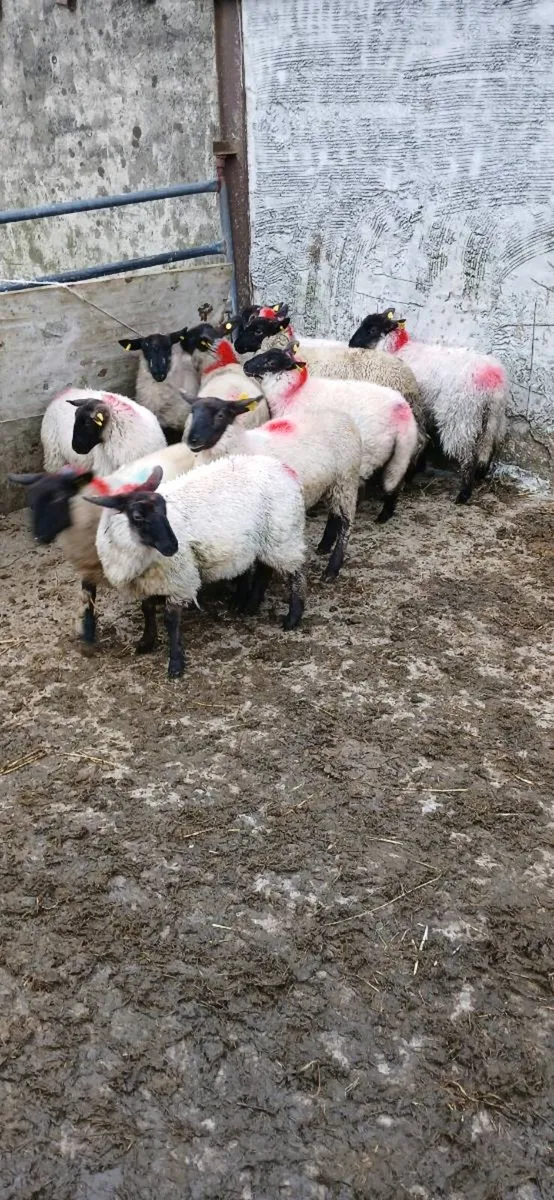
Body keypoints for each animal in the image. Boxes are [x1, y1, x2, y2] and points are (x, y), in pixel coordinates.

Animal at [9, 442, 196, 653]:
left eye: (58, 498)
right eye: (31, 501)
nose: (38, 537)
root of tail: (183, 445)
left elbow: (146, 604)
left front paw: (147, 640)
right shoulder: (89, 563)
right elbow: (88, 596)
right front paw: (88, 634)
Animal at [85, 456, 308, 678]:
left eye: (165, 509)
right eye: (138, 516)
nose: (172, 546)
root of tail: (282, 467)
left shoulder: (180, 579)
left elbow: (171, 620)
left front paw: (175, 663)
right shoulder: (147, 582)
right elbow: (147, 609)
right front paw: (146, 642)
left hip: (283, 534)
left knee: (295, 573)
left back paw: (292, 617)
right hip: (267, 540)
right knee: (265, 568)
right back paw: (251, 605)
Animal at [185, 392, 362, 579]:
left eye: (220, 415)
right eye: (192, 412)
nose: (192, 440)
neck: (244, 445)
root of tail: (343, 416)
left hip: (346, 479)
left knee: (346, 522)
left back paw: (332, 569)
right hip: (332, 483)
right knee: (334, 514)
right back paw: (324, 545)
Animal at [243, 343, 419, 523]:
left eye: (271, 362)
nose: (246, 365)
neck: (294, 392)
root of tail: (402, 411)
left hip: (367, 453)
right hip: (399, 452)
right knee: (396, 479)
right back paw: (385, 515)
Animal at [349, 309, 509, 503]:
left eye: (371, 329)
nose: (350, 344)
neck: (397, 348)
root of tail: (492, 376)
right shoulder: (422, 409)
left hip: (460, 416)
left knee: (467, 454)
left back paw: (463, 494)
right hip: (493, 417)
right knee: (488, 446)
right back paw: (479, 477)